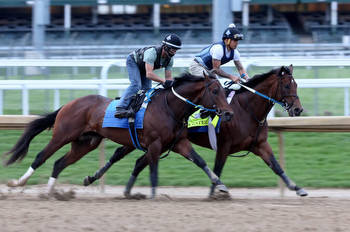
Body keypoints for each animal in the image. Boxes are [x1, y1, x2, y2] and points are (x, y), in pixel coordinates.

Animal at [3, 72, 232, 198]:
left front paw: (221, 185)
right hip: (63, 135)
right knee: (41, 156)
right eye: (214, 91)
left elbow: (200, 161)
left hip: (86, 143)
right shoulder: (155, 144)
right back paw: (18, 183)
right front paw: (153, 195)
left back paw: (51, 192)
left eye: (223, 90)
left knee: (59, 163)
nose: (228, 113)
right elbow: (153, 170)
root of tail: (69, 104)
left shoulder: (179, 142)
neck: (169, 108)